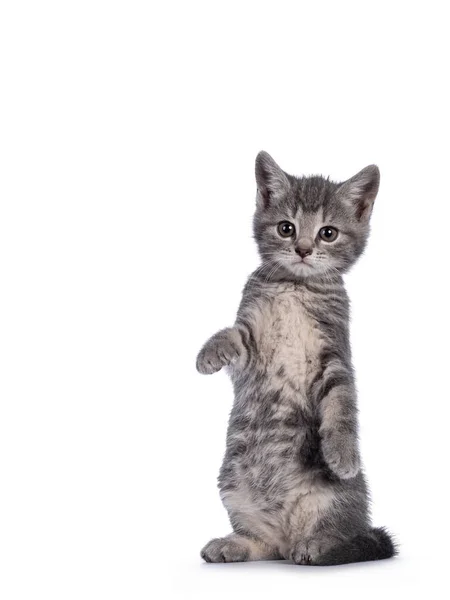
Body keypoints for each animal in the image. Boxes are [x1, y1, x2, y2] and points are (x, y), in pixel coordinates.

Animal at [195, 152, 396, 564]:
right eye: (286, 228)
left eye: (328, 233)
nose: (303, 248)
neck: (295, 287)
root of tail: (289, 537)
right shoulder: (250, 341)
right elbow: (230, 335)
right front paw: (208, 354)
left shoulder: (334, 353)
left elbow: (341, 404)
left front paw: (342, 454)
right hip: (233, 487)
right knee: (264, 544)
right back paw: (234, 544)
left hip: (340, 501)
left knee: (343, 531)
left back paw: (318, 544)